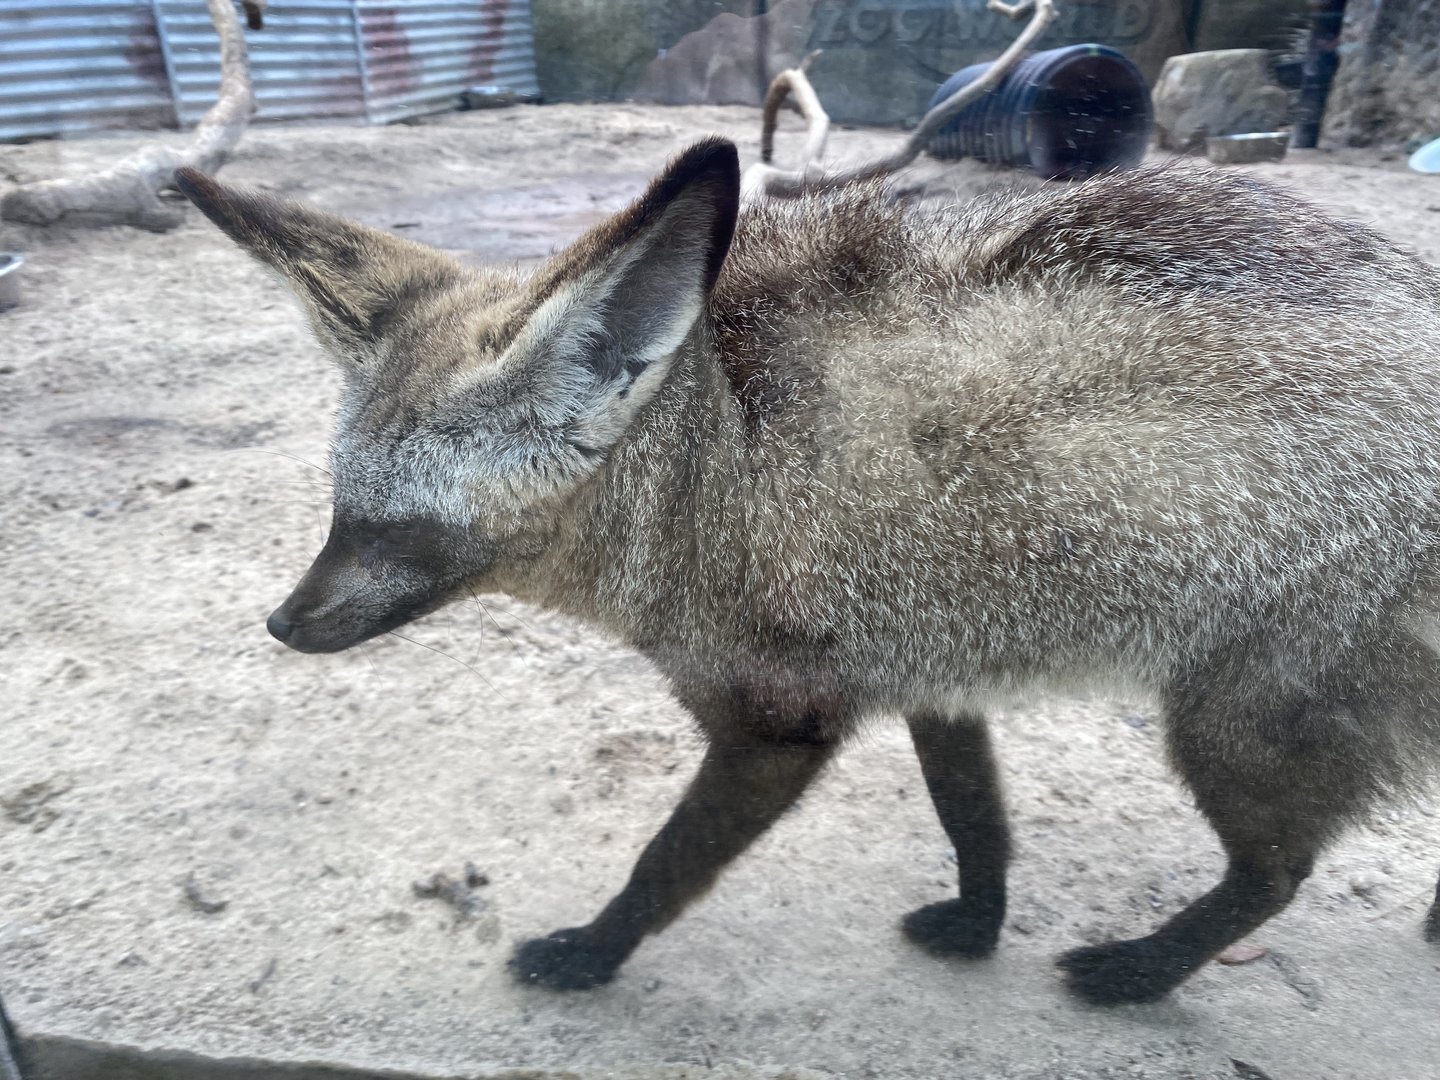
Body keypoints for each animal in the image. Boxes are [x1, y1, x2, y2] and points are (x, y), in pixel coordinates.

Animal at [174, 137, 1440, 1005]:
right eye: (338, 513)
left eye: (391, 531)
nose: (281, 623)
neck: (717, 469)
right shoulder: (929, 667)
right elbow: (975, 821)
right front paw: (980, 925)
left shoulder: (780, 724)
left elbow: (662, 865)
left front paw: (592, 953)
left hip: (1232, 727)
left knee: (1276, 873)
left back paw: (1141, 974)